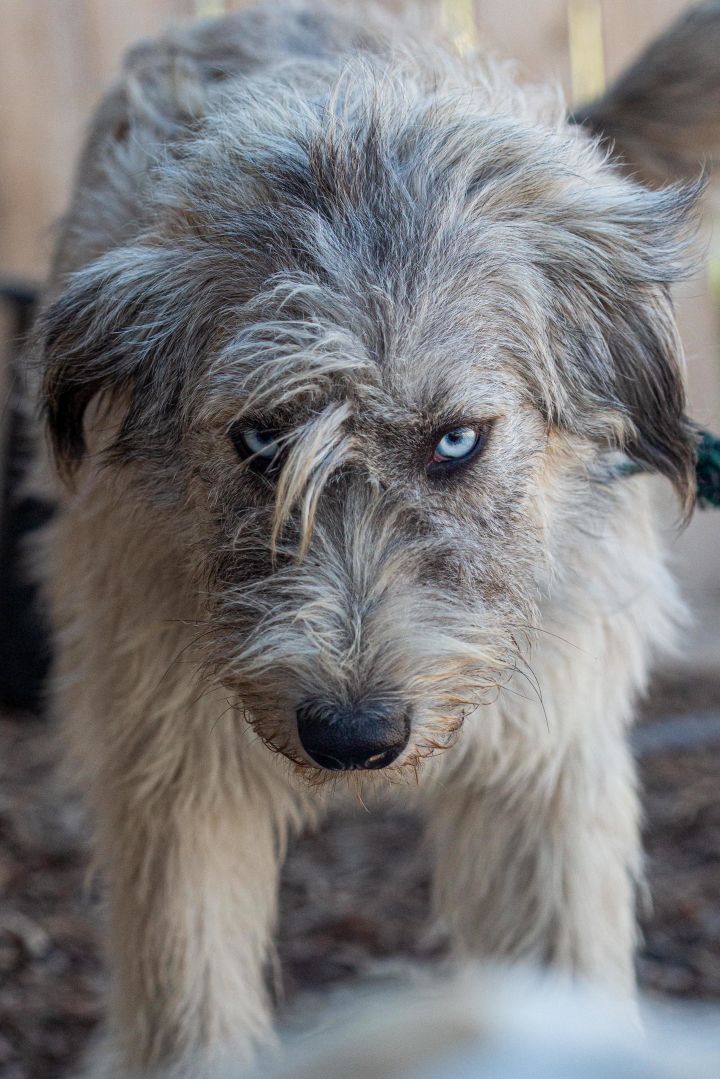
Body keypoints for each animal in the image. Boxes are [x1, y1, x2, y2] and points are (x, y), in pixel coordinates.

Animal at [32, 2, 720, 1079]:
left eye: (456, 440)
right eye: (259, 439)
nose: (352, 734)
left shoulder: (550, 767)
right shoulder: (170, 767)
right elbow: (189, 1001)